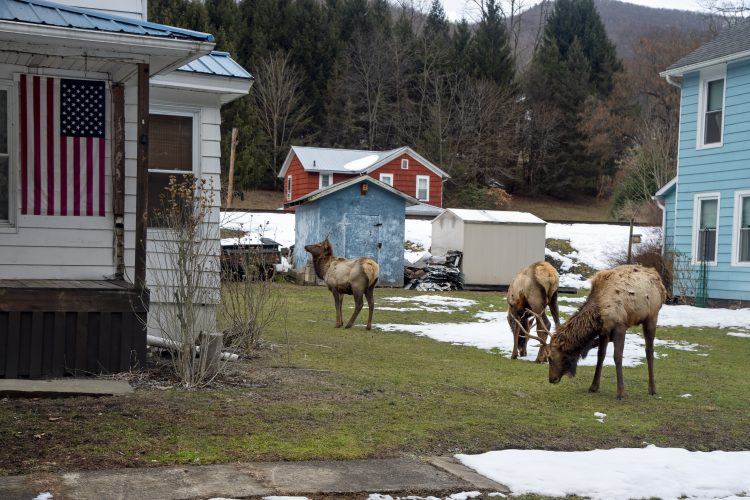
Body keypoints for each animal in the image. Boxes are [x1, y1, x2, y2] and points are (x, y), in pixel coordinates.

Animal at [526, 264, 666, 399]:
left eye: (550, 357)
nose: (552, 379)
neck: (599, 311)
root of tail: (661, 284)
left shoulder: (620, 326)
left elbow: (617, 356)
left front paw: (621, 392)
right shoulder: (604, 330)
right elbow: (601, 355)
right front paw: (593, 386)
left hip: (652, 317)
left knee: (649, 350)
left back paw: (652, 389)